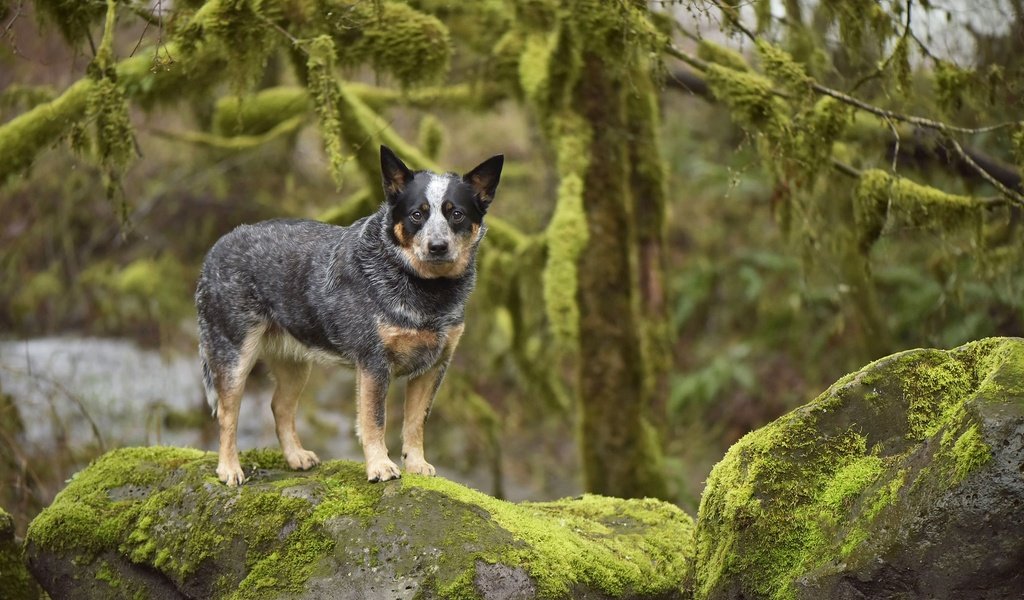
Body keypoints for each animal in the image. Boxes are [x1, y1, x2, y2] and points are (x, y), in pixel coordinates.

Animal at [193, 146, 501, 485]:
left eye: (456, 214)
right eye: (417, 214)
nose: (437, 246)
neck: (428, 292)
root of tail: (217, 248)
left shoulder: (434, 366)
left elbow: (415, 422)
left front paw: (417, 464)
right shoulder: (374, 363)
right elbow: (374, 420)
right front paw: (380, 466)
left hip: (295, 363)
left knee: (280, 407)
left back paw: (296, 457)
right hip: (234, 355)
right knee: (227, 413)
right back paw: (229, 469)